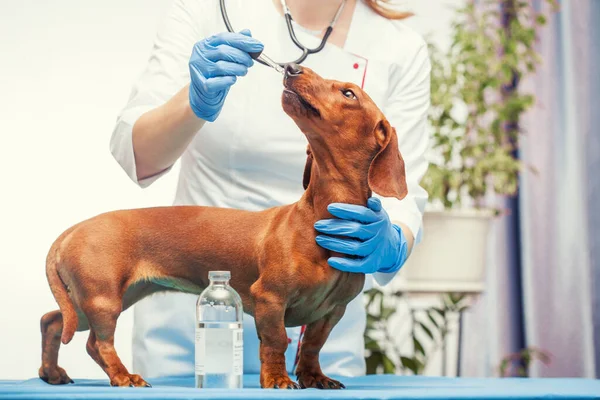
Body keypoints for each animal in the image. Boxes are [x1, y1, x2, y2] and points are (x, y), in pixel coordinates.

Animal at [38, 64, 408, 390]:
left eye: (349, 93)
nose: (292, 67)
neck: (319, 216)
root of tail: (72, 230)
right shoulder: (270, 298)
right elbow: (276, 342)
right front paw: (277, 379)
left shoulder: (331, 311)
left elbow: (312, 348)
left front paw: (314, 377)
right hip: (103, 300)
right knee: (96, 344)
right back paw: (123, 376)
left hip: (93, 301)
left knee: (54, 321)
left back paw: (52, 372)